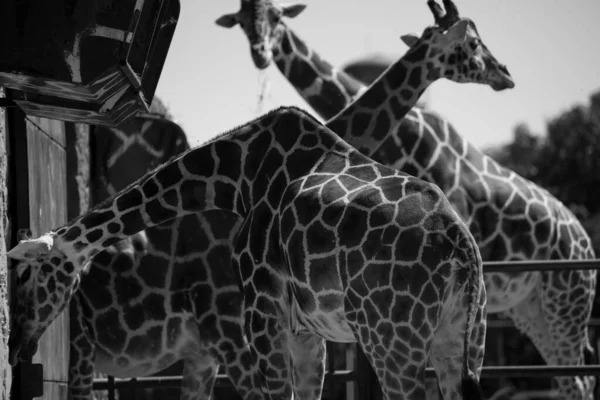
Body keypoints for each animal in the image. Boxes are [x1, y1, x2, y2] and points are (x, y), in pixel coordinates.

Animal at [218, 0, 596, 400]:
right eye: (242, 23)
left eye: (277, 17)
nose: (505, 74)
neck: (404, 137)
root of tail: (585, 242)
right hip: (532, 310)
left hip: (565, 304)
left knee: (577, 377)